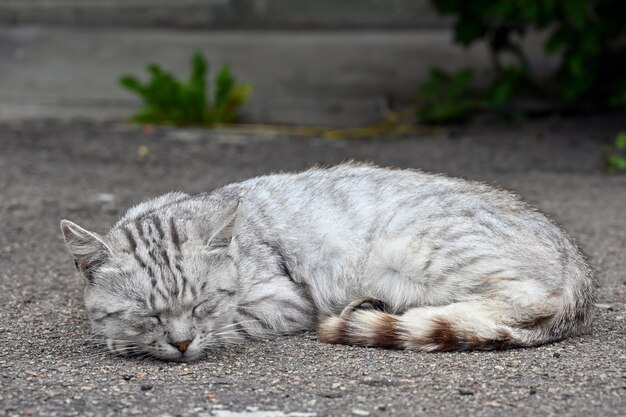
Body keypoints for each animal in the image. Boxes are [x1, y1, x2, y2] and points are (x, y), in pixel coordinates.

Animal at [61, 164, 592, 360]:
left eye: (203, 305)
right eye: (148, 313)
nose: (182, 343)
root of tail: (581, 269)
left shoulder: (284, 300)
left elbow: (237, 321)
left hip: (415, 245)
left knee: (524, 301)